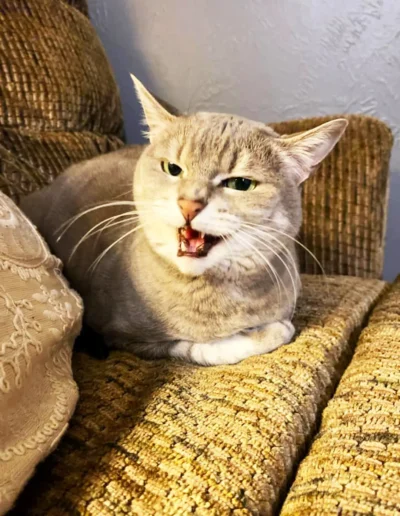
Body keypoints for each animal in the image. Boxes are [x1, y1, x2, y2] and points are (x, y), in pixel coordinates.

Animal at [21, 75, 346, 366]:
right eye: (173, 168)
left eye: (241, 184)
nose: (189, 204)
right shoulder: (129, 337)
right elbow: (205, 347)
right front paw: (273, 331)